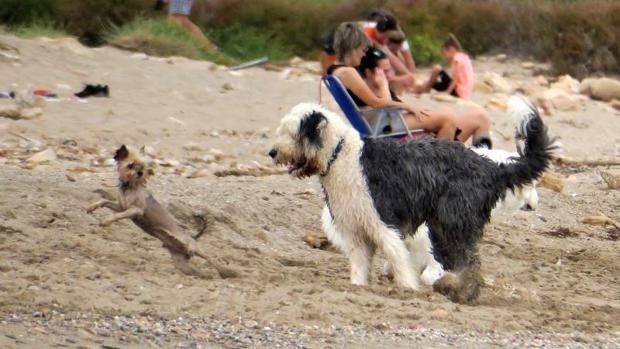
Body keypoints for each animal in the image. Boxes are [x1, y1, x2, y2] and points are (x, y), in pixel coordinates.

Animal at [268, 98, 556, 302]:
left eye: (292, 132)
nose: (272, 152)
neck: (339, 156)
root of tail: (490, 167)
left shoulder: (383, 222)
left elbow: (398, 257)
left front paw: (407, 288)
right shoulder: (356, 230)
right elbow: (360, 265)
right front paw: (357, 287)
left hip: (452, 222)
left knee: (470, 262)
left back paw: (460, 291)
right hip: (441, 228)